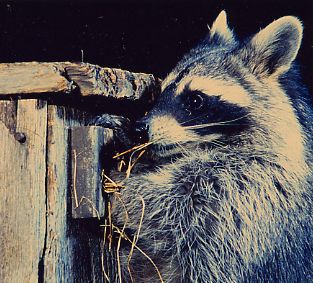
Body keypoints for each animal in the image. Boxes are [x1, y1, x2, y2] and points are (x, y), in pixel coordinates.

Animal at [108, 11, 312, 283]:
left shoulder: (252, 188)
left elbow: (170, 211)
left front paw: (122, 182)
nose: (140, 129)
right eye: (159, 93)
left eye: (195, 100)